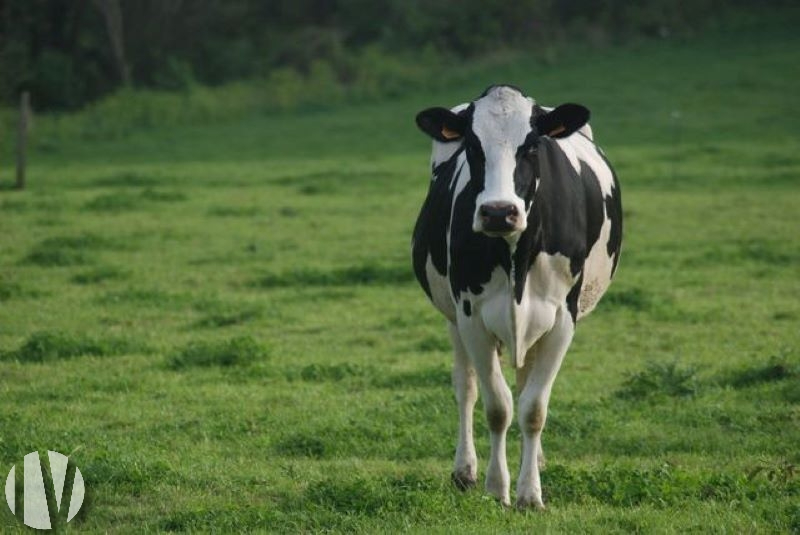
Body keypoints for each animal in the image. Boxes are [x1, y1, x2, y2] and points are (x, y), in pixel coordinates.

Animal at [410, 85, 620, 510]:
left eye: (532, 146)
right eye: (472, 146)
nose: (498, 212)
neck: (514, 256)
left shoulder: (562, 319)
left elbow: (533, 408)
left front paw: (530, 493)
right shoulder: (471, 316)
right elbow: (497, 406)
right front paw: (497, 486)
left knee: (525, 386)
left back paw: (534, 461)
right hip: (452, 318)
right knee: (466, 388)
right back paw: (465, 470)